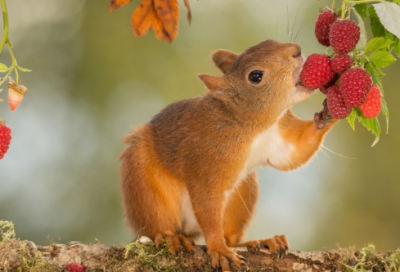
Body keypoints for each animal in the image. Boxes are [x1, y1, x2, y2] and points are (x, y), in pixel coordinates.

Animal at [119, 39, 338, 270]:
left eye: (269, 41)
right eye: (255, 76)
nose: (296, 50)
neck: (254, 126)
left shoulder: (279, 137)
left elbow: (295, 153)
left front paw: (329, 113)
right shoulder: (208, 162)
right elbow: (207, 205)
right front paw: (219, 250)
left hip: (243, 193)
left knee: (231, 237)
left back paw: (262, 241)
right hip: (144, 185)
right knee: (156, 224)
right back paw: (172, 237)